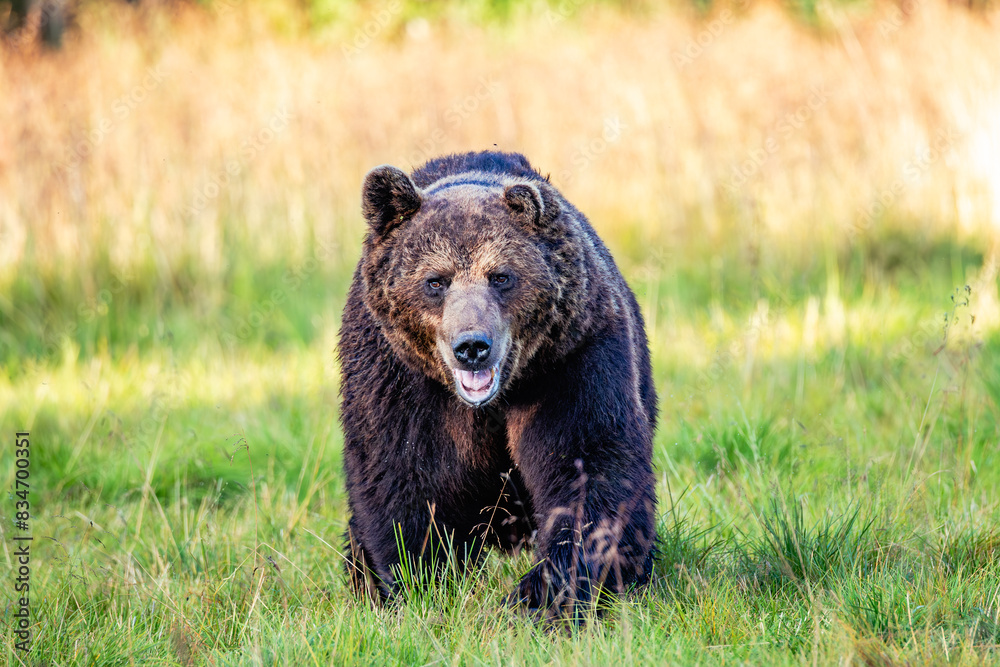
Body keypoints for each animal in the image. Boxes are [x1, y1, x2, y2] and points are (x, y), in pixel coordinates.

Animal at [338, 150, 657, 618]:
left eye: (501, 276)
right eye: (436, 280)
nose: (472, 346)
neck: (493, 398)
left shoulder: (570, 361)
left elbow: (589, 465)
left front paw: (542, 593)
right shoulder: (397, 379)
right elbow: (399, 472)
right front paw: (421, 581)